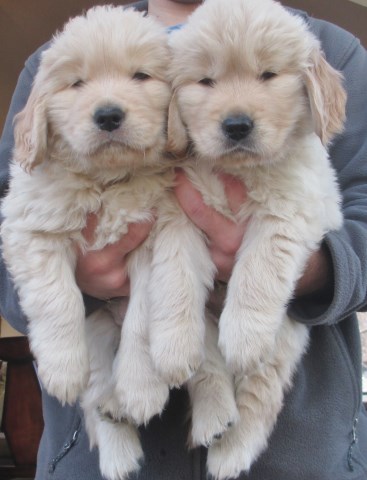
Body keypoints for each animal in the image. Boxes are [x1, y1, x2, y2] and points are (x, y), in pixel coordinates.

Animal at [167, 0, 348, 476]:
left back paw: (230, 452)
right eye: (206, 80)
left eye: (268, 75)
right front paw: (172, 345)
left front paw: (243, 333)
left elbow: (259, 271)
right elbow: (173, 277)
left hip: (283, 337)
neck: (239, 171)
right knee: (208, 367)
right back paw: (212, 417)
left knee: (258, 394)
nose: (236, 125)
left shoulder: (290, 211)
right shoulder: (178, 212)